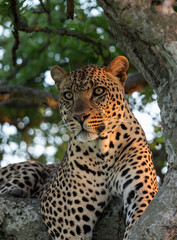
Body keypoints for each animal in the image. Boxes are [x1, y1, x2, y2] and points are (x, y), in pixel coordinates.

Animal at [0, 55, 158, 239]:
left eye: (98, 91)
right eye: (68, 95)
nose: (79, 117)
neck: (104, 149)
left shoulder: (142, 191)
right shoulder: (66, 214)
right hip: (33, 166)